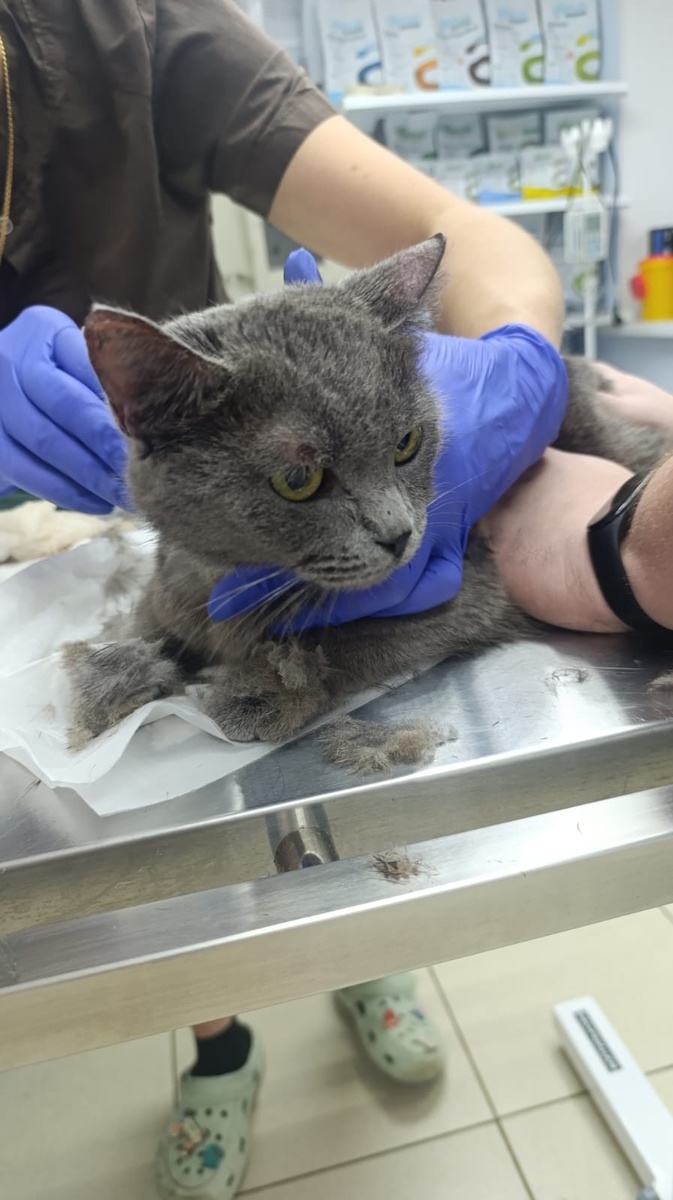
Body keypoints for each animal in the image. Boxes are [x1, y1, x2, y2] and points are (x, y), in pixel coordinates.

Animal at [63, 235, 672, 769]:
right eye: (299, 479)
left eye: (406, 443)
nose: (399, 534)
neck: (237, 579)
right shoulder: (173, 583)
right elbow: (153, 619)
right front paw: (110, 672)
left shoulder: (471, 587)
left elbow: (347, 639)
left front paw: (264, 691)